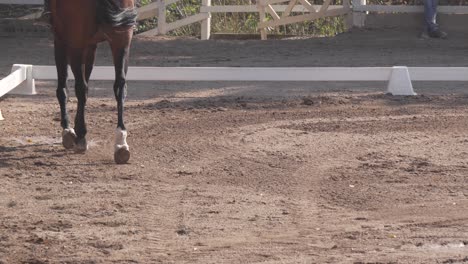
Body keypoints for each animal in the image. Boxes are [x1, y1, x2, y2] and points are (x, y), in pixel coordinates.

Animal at [49, 0, 137, 164]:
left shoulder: (63, 38)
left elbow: (68, 88)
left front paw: (70, 131)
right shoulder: (92, 44)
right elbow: (85, 87)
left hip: (75, 43)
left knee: (79, 88)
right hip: (121, 40)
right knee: (120, 86)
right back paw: (121, 144)